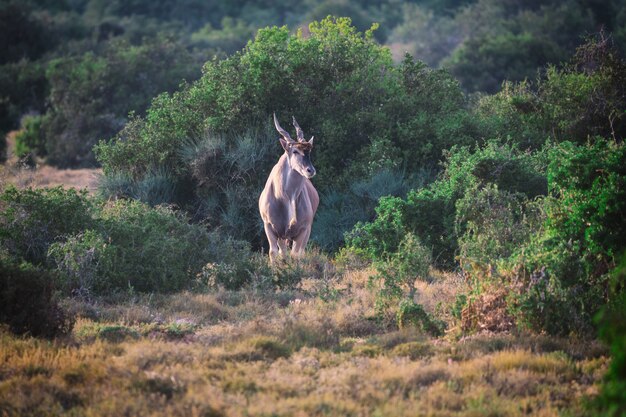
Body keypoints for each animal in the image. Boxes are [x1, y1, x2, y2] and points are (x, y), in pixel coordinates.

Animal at [258, 114, 316, 262]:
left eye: (309, 151)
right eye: (295, 151)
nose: (310, 170)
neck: (286, 197)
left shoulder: (303, 230)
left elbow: (296, 254)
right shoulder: (270, 227)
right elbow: (273, 252)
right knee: (282, 252)